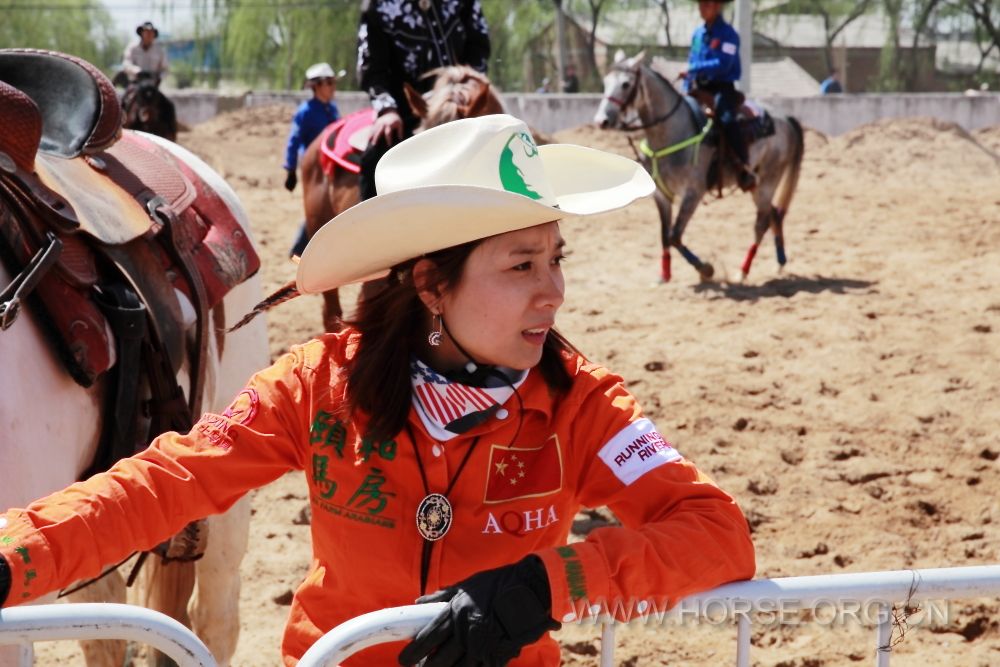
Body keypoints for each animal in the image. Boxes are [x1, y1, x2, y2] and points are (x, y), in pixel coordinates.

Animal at [594, 51, 805, 283]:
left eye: (625, 84)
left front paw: (705, 269)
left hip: (767, 182)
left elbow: (675, 235)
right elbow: (664, 235)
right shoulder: (661, 195)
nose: (601, 120)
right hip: (757, 186)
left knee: (762, 223)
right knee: (774, 214)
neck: (671, 133)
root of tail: (785, 118)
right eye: (605, 82)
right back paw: (780, 262)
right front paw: (664, 275)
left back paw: (743, 271)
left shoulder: (693, 193)